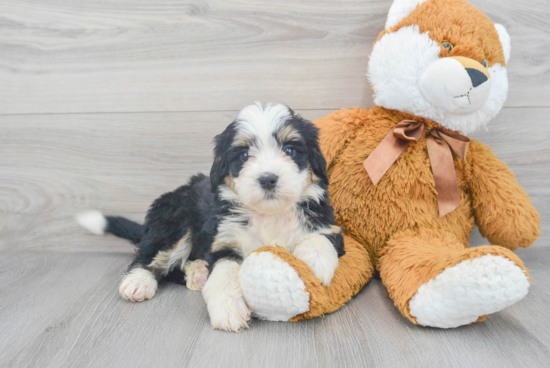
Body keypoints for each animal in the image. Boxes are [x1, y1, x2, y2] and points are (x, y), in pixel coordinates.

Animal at [77, 102, 344, 332]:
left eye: (289, 150)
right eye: (244, 155)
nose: (268, 179)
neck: (269, 214)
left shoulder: (328, 224)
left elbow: (320, 238)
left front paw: (314, 264)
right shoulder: (224, 239)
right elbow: (225, 273)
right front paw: (228, 309)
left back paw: (198, 273)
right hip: (175, 220)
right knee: (150, 256)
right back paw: (139, 282)